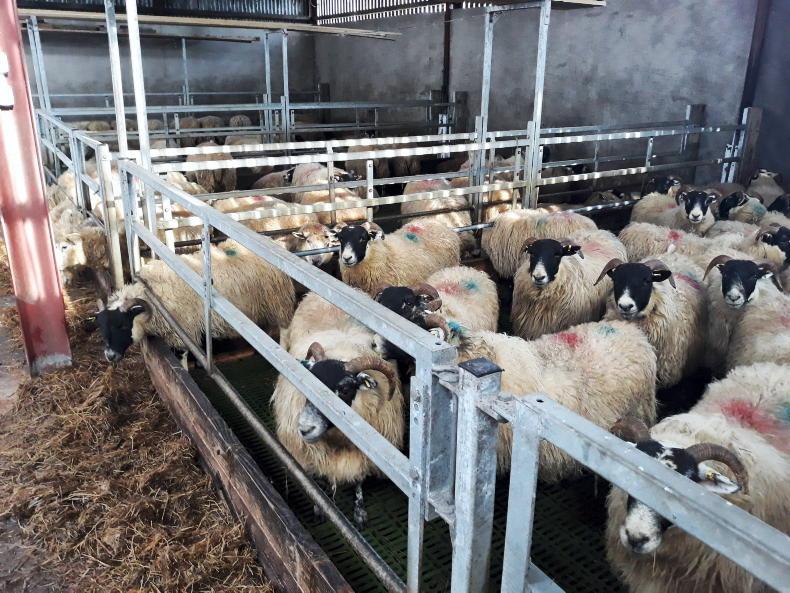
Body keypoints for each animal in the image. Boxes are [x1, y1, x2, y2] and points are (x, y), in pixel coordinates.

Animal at [95, 239, 295, 362]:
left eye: (122, 326)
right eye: (102, 328)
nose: (109, 356)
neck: (153, 293)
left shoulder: (183, 333)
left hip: (279, 303)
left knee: (285, 332)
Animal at [273, 293, 402, 526]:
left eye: (344, 389)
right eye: (309, 381)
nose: (304, 429)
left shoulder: (364, 453)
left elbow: (359, 480)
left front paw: (360, 513)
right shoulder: (313, 453)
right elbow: (317, 480)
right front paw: (319, 505)